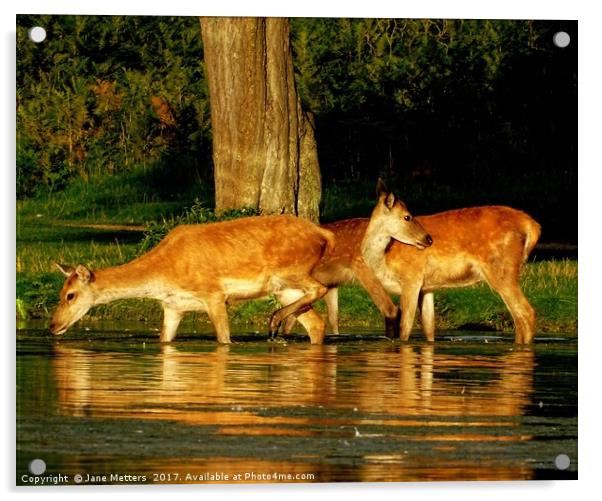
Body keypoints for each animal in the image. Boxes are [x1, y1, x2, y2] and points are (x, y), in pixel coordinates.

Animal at [49, 215, 336, 344]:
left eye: (70, 295)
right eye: (60, 293)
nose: (53, 326)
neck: (163, 275)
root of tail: (323, 235)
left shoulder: (214, 294)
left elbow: (224, 340)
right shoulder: (173, 306)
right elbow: (164, 340)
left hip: (294, 270)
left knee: (321, 288)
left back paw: (274, 320)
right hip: (284, 288)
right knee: (316, 323)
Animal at [288, 180, 536, 344]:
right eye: (407, 216)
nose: (428, 239)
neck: (384, 259)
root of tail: (532, 225)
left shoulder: (411, 278)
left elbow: (405, 327)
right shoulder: (427, 287)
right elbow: (428, 329)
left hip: (501, 269)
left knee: (525, 313)